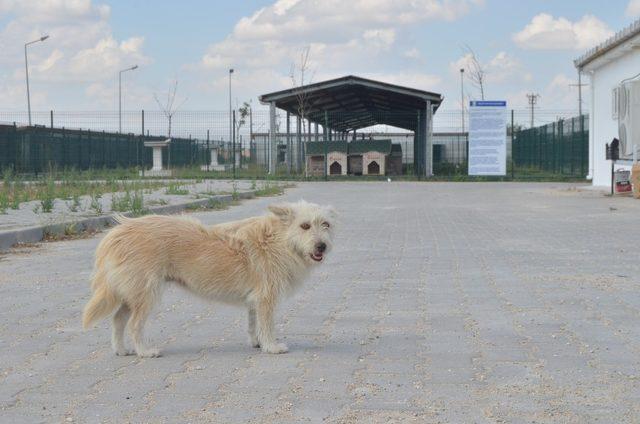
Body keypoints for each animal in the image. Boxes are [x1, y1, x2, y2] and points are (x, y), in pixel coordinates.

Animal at [81, 201, 336, 358]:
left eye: (326, 224)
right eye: (304, 226)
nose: (322, 246)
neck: (279, 239)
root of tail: (119, 230)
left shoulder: (255, 300)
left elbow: (253, 324)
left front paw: (257, 343)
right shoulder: (266, 298)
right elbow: (267, 325)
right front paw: (271, 346)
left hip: (131, 294)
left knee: (117, 320)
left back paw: (121, 350)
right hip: (146, 294)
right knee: (134, 324)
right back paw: (145, 351)